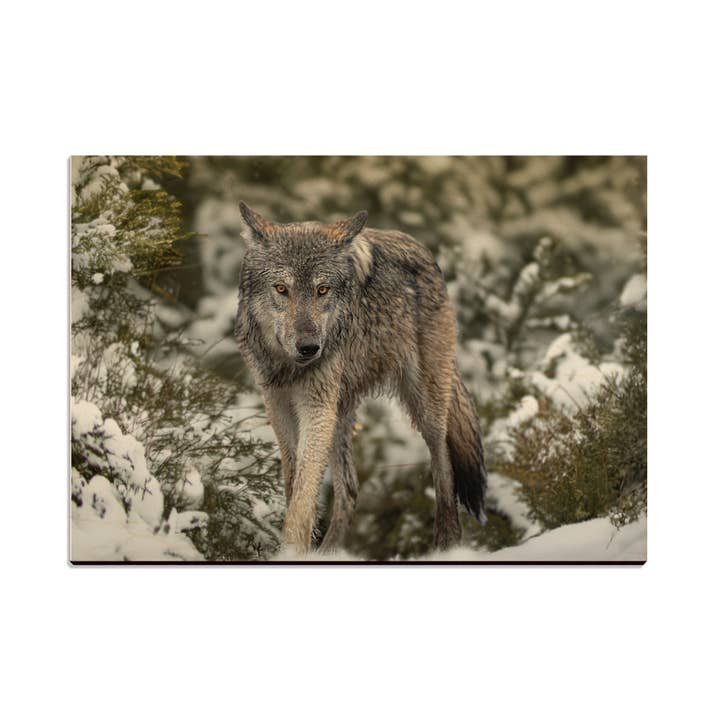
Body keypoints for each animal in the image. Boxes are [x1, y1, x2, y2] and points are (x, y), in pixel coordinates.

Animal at [234, 201, 488, 554]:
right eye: (281, 289)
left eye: (322, 290)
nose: (309, 348)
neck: (288, 366)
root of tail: (423, 250)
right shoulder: (277, 403)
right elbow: (293, 483)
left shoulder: (316, 408)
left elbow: (303, 496)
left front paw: (291, 550)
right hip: (341, 414)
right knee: (351, 489)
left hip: (425, 407)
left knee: (443, 465)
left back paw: (447, 543)